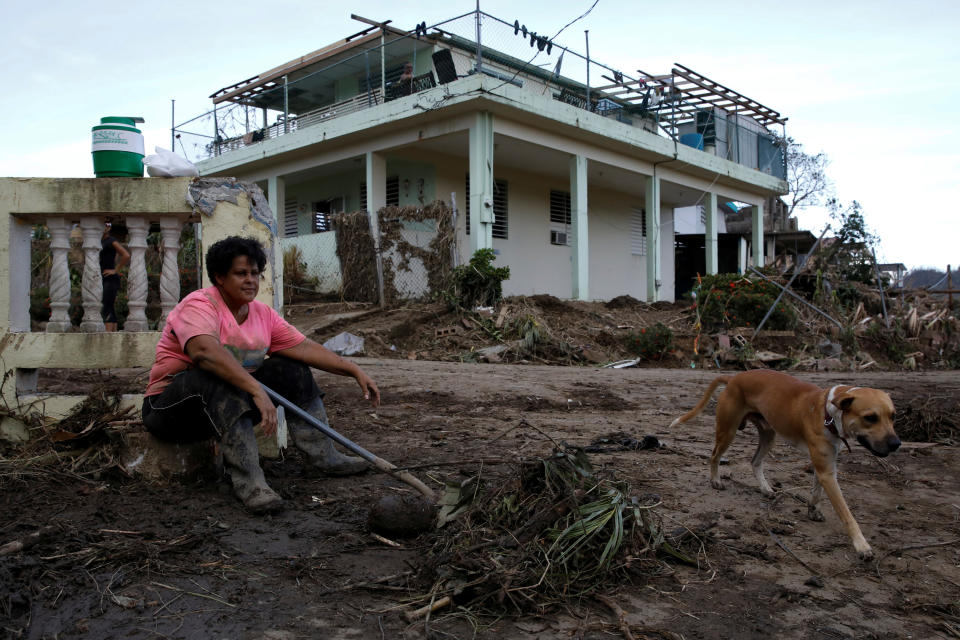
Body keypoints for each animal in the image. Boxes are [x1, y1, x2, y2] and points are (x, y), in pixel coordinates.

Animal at [668, 370, 900, 560]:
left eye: (893, 416)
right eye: (870, 417)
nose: (896, 444)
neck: (828, 413)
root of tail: (734, 377)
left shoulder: (826, 466)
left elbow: (816, 492)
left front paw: (813, 510)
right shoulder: (827, 472)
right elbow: (847, 514)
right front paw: (862, 545)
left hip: (768, 435)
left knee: (755, 461)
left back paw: (765, 488)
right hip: (728, 431)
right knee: (714, 455)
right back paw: (716, 480)